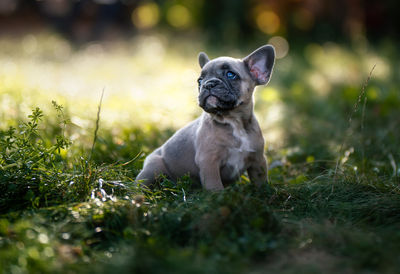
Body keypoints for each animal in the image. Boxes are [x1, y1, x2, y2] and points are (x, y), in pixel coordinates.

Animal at [135, 45, 276, 191]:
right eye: (200, 80)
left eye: (230, 74)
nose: (208, 84)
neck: (234, 122)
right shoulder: (209, 162)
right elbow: (215, 186)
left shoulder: (258, 160)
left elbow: (260, 182)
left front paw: (264, 193)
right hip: (154, 168)